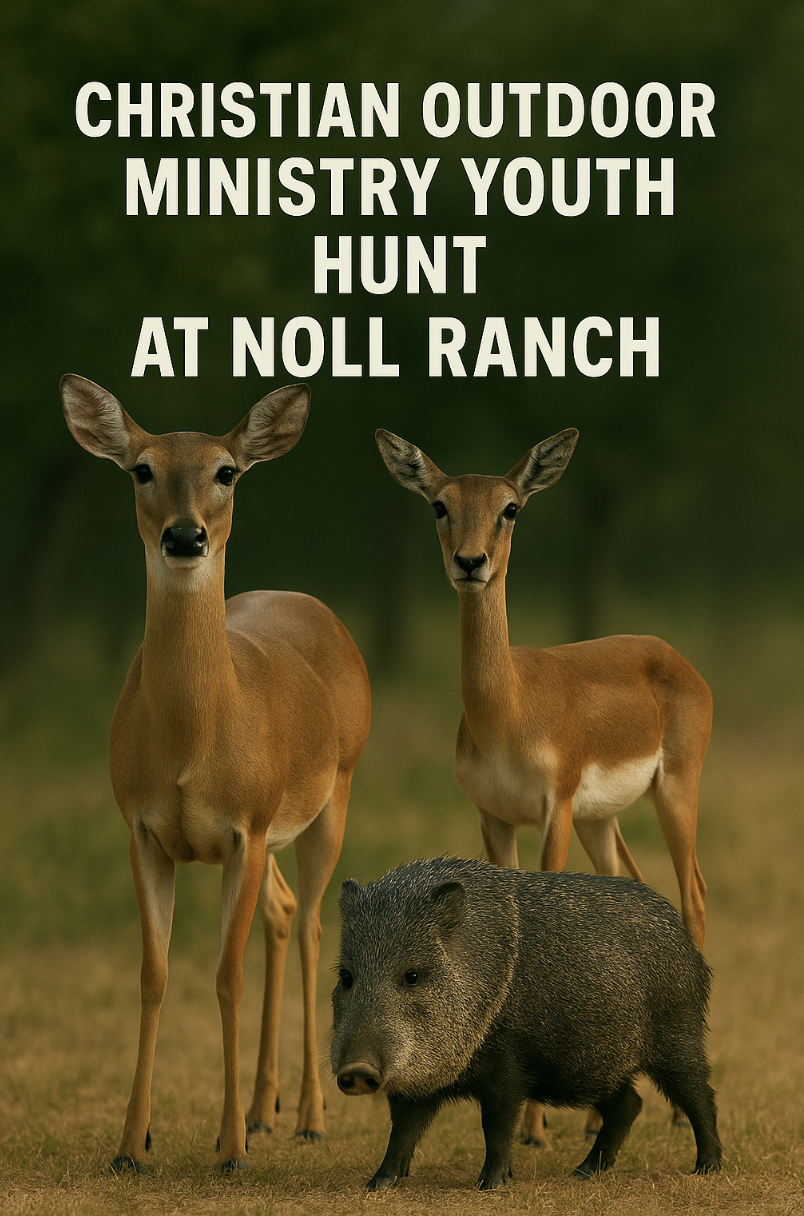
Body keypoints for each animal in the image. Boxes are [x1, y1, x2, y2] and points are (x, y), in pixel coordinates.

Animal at [60, 375, 371, 1174]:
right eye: (141, 468)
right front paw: (131, 1144)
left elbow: (226, 976)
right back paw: (265, 1110)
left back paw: (308, 1116)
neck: (191, 746)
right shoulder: (143, 830)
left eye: (226, 472)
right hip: (274, 836)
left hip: (332, 795)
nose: (185, 535)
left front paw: (227, 1149)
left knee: (315, 923)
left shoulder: (246, 827)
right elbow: (154, 973)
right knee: (284, 912)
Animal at [376, 426, 712, 1145]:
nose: (471, 562)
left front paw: (532, 1125)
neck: (508, 707)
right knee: (632, 884)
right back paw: (598, 1113)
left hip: (674, 792)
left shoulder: (552, 810)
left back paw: (672, 1113)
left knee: (694, 893)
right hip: (601, 820)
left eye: (510, 507)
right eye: (439, 504)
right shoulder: (494, 817)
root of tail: (673, 656)